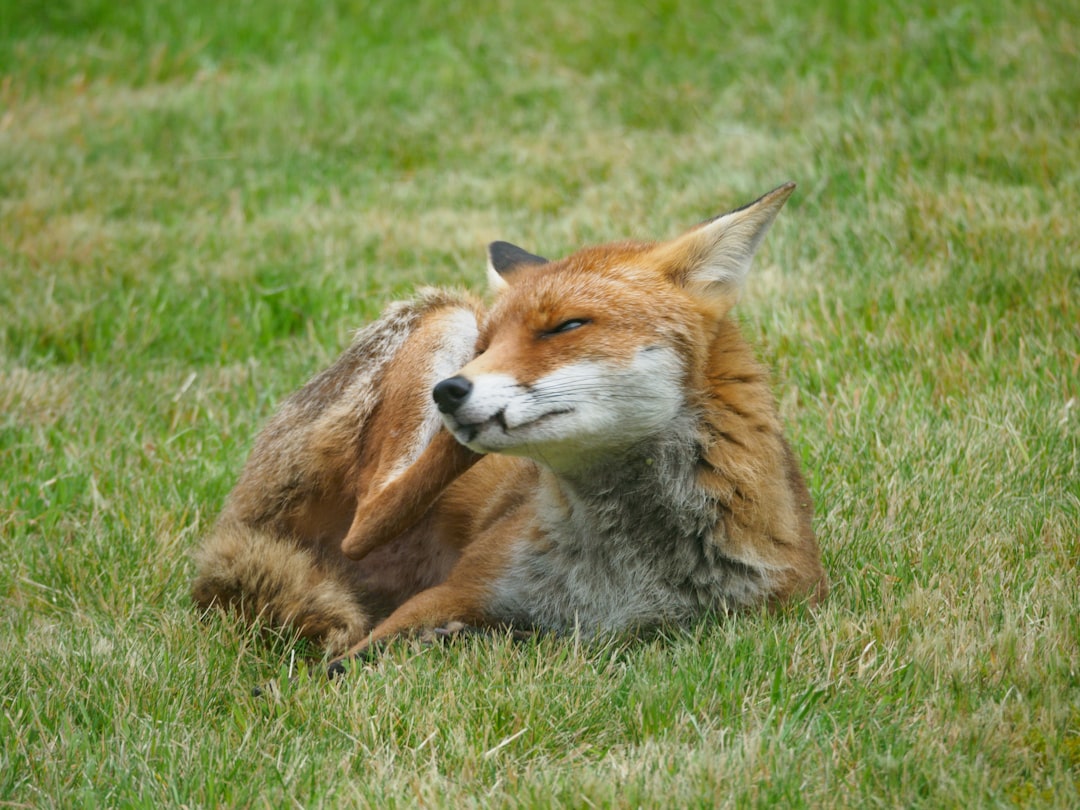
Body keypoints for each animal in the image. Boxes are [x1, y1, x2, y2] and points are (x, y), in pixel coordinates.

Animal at [192, 183, 825, 673]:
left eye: (566, 326)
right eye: (489, 346)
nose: (448, 391)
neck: (629, 572)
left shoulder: (778, 609)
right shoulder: (457, 590)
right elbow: (340, 666)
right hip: (449, 315)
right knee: (370, 515)